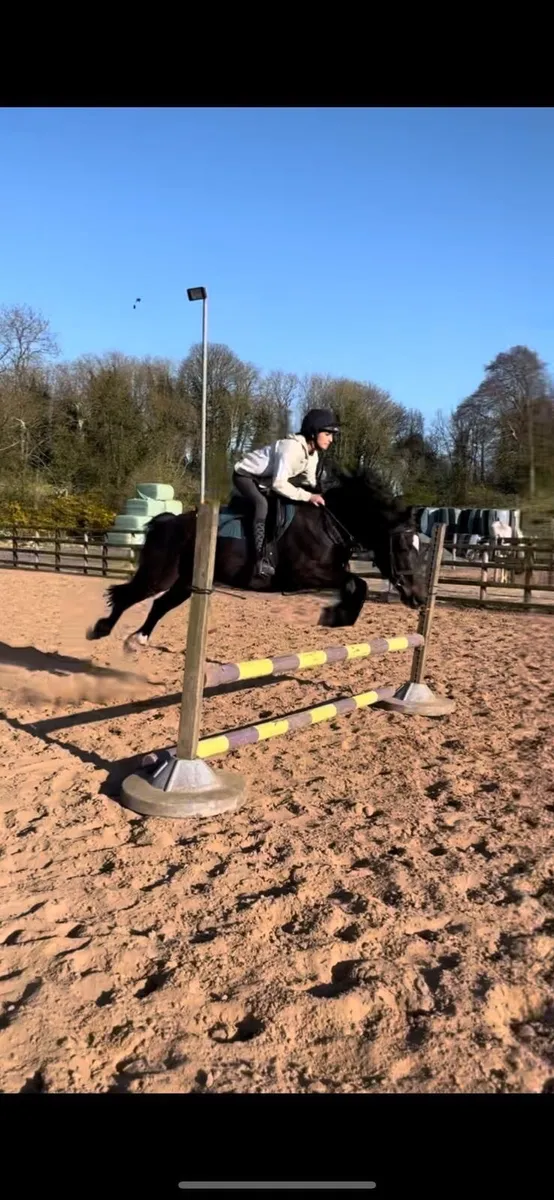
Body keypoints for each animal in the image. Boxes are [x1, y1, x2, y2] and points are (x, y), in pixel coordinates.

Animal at [87, 468, 426, 648]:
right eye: (401, 547)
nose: (419, 598)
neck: (330, 522)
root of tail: (166, 522)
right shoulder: (306, 573)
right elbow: (357, 583)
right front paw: (334, 616)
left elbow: (357, 584)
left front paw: (339, 615)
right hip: (161, 574)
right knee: (129, 595)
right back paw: (101, 630)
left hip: (185, 583)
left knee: (158, 604)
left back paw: (137, 640)